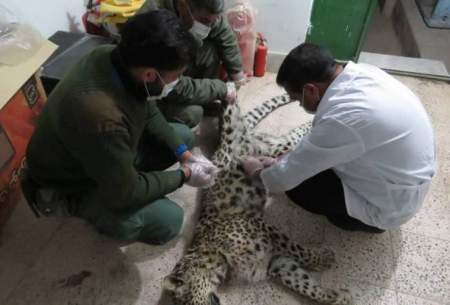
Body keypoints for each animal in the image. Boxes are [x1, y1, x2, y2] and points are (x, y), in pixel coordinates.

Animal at [163, 94, 354, 302]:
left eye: (187, 300)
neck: (217, 261)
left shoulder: (264, 230)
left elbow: (300, 251)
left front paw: (325, 258)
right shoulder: (275, 263)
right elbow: (303, 284)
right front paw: (335, 296)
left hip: (245, 136)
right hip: (274, 147)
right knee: (296, 138)